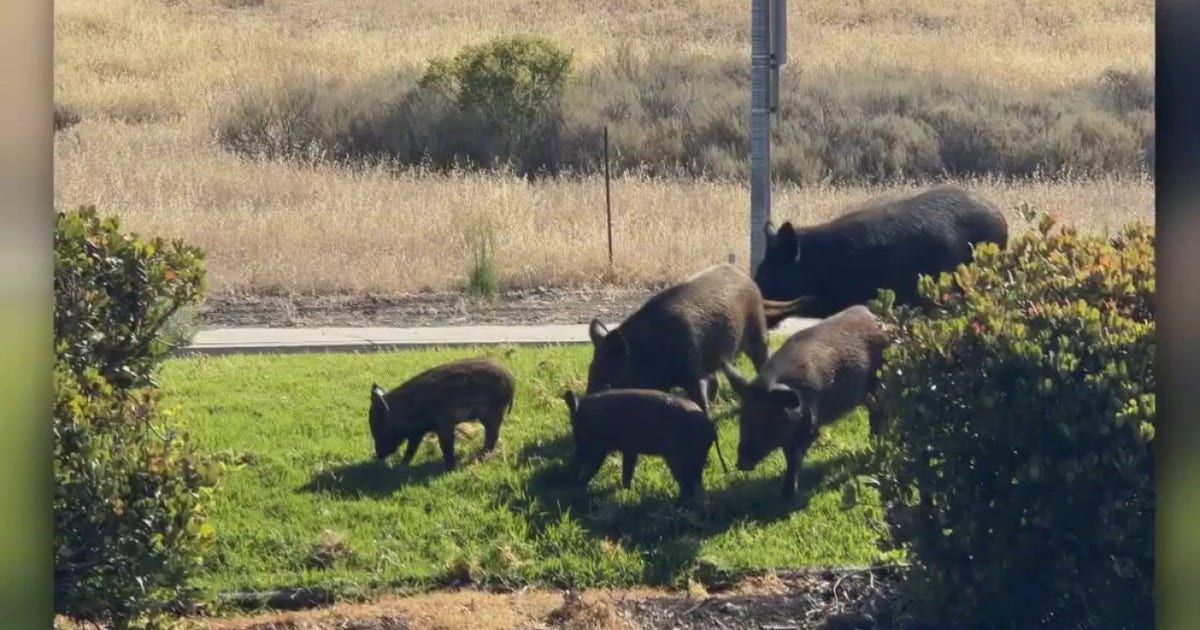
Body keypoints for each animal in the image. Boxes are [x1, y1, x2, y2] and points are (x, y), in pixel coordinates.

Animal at [369, 357, 516, 471]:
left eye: (380, 428)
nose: (378, 456)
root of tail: (512, 380)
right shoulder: (417, 433)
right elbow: (411, 448)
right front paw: (402, 466)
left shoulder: (444, 423)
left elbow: (446, 445)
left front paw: (450, 468)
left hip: (494, 414)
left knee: (492, 437)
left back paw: (477, 458)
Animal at [561, 388, 730, 505]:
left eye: (577, 436)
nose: (571, 473)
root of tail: (711, 426)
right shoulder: (630, 449)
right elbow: (627, 471)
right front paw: (627, 491)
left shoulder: (600, 447)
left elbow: (596, 467)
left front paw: (581, 486)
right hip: (698, 457)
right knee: (696, 482)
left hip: (680, 458)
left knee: (688, 483)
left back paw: (677, 503)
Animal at [586, 263, 811, 419]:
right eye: (591, 370)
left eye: (608, 380)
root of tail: (748, 280)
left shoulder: (691, 372)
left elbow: (699, 401)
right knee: (716, 380)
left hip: (758, 336)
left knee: (762, 360)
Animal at [721, 305, 890, 500]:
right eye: (743, 416)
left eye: (767, 418)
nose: (741, 463)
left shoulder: (810, 425)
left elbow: (794, 457)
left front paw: (787, 496)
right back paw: (873, 439)